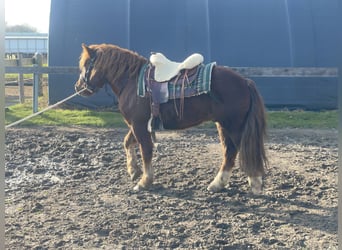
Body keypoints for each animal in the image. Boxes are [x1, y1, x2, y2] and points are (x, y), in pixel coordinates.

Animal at [74, 44, 268, 194]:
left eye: (86, 64)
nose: (78, 87)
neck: (132, 81)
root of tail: (245, 81)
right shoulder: (138, 125)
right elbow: (127, 142)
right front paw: (133, 171)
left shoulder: (139, 125)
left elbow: (146, 151)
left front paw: (144, 182)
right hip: (223, 125)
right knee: (230, 152)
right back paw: (217, 184)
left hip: (234, 126)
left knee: (239, 150)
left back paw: (255, 183)